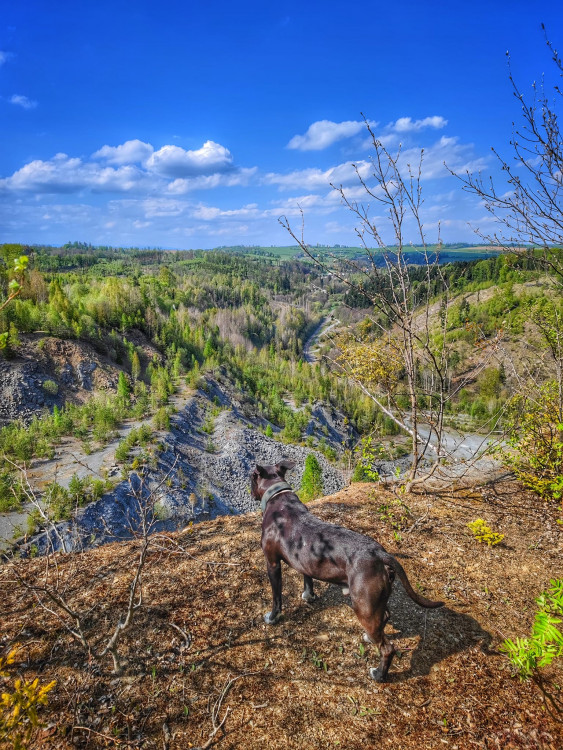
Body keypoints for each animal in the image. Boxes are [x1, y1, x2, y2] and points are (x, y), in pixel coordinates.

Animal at [252, 462, 446, 684]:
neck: (278, 497)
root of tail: (380, 554)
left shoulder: (272, 563)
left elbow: (276, 597)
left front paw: (272, 617)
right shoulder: (303, 559)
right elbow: (307, 578)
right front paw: (308, 596)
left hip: (363, 606)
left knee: (387, 649)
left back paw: (379, 674)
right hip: (375, 603)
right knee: (385, 617)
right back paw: (370, 638)